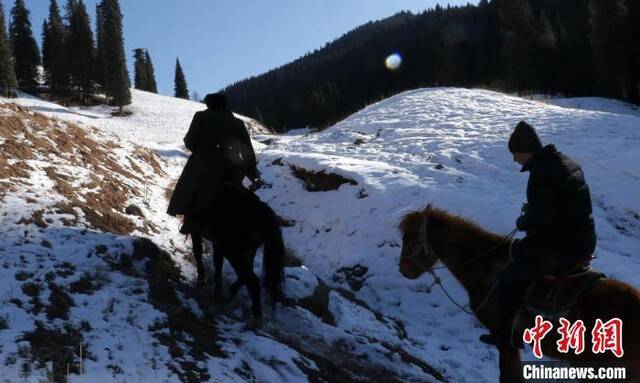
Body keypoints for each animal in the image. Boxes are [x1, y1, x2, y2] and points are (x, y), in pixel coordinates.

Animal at [186, 182, 284, 318]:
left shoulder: (195, 230)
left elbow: (198, 251)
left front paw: (201, 278)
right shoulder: (217, 243)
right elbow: (218, 262)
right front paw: (217, 287)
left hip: (233, 250)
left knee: (252, 279)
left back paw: (256, 313)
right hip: (245, 251)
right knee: (245, 274)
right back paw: (231, 293)